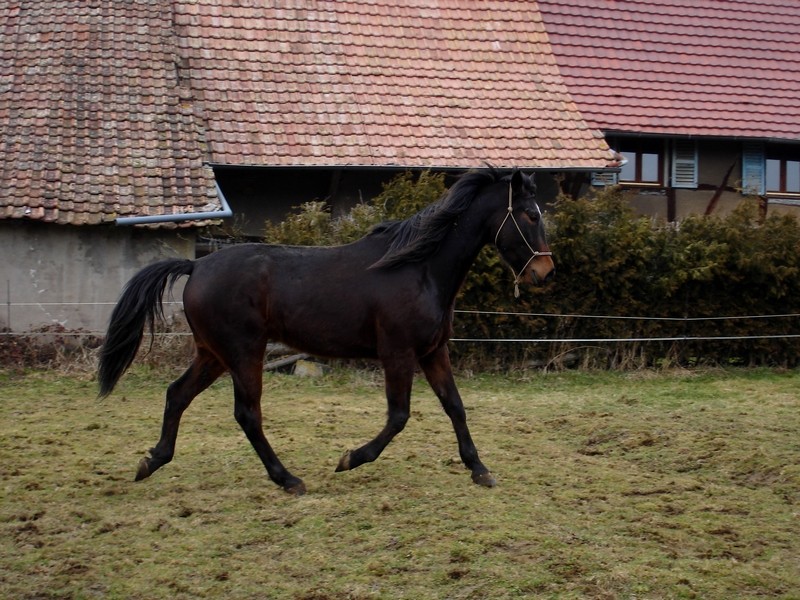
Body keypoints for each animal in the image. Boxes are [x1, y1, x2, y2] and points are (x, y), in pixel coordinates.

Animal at [97, 166, 552, 494]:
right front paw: (349, 458)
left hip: (212, 354)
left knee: (177, 394)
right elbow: (399, 416)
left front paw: (480, 470)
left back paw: (151, 461)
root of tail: (197, 265)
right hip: (243, 353)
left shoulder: (433, 352)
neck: (419, 268)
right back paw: (288, 479)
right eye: (531, 215)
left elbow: (455, 407)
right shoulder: (398, 353)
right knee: (247, 413)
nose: (545, 272)